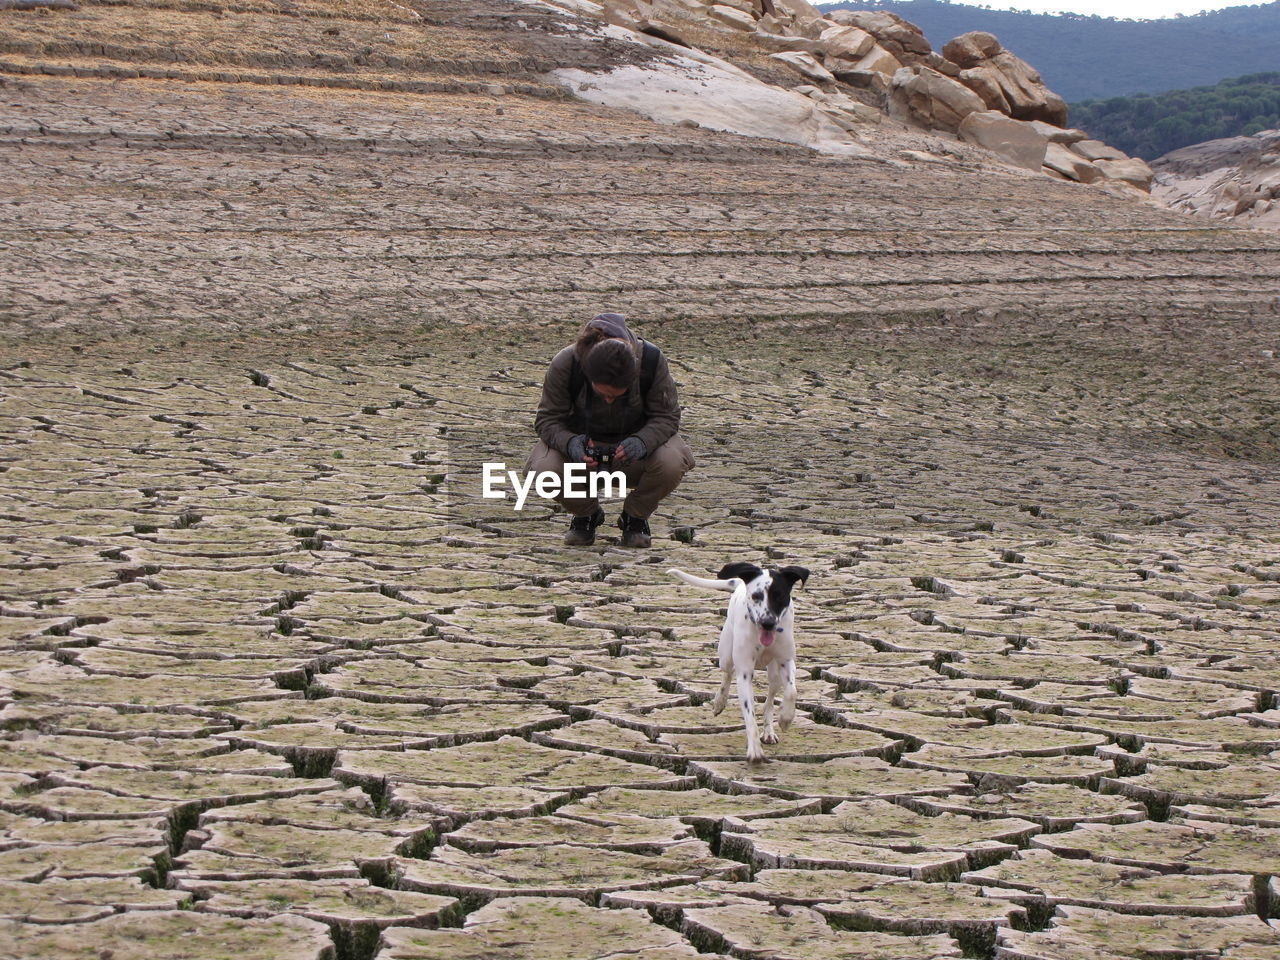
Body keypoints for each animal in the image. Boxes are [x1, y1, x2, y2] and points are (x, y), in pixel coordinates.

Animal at [670, 563, 808, 768]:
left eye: (780, 595)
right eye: (756, 596)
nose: (767, 623)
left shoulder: (786, 662)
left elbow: (792, 692)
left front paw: (785, 718)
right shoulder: (744, 672)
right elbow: (749, 714)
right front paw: (755, 751)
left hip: (774, 673)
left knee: (770, 698)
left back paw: (769, 731)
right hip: (726, 654)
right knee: (727, 674)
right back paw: (719, 702)